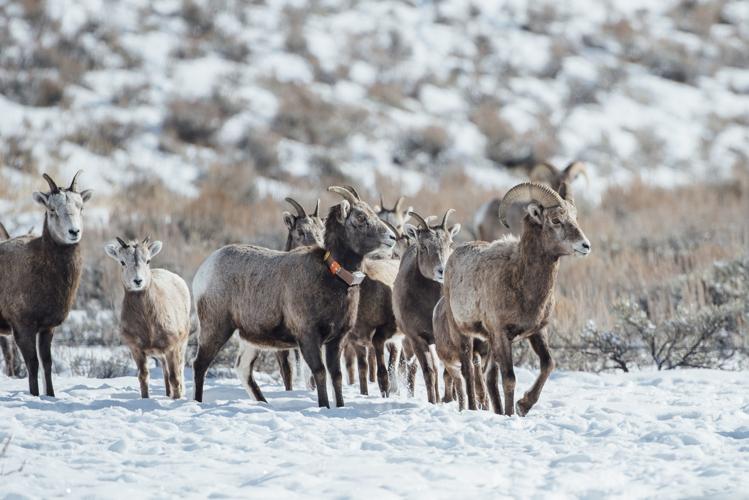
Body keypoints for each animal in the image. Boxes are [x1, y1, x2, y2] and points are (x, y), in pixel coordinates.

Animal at [0, 172, 93, 396]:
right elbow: (33, 365)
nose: (74, 232)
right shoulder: (22, 327)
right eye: (52, 209)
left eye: (81, 207)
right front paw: (35, 396)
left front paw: (50, 396)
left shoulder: (46, 329)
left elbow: (47, 365)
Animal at [104, 237, 191, 399]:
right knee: (164, 372)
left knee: (178, 371)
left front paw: (177, 399)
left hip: (181, 346)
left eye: (148, 260)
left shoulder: (172, 347)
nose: (138, 281)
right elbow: (143, 376)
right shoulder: (136, 349)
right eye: (122, 262)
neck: (148, 324)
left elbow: (175, 378)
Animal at [393, 209, 461, 404]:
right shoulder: (417, 338)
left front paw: (448, 399)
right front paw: (433, 402)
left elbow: (447, 373)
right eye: (423, 246)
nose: (441, 270)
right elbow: (429, 372)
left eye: (450, 243)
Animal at [443, 182, 591, 415]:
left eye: (575, 217)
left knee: (488, 376)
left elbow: (548, 364)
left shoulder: (537, 332)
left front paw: (523, 405)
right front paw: (514, 413)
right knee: (469, 372)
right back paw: (474, 409)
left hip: (489, 343)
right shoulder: (502, 334)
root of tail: (452, 258)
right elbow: (510, 379)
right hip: (464, 335)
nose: (585, 246)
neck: (520, 281)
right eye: (556, 220)